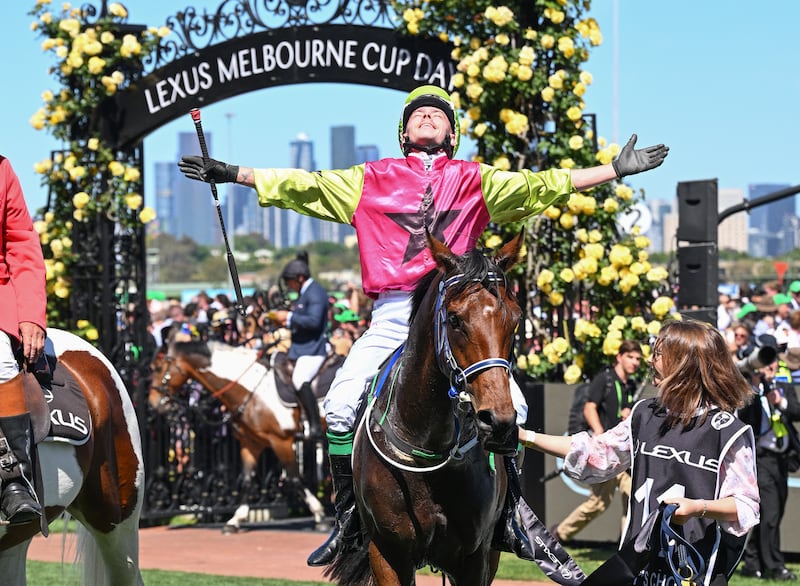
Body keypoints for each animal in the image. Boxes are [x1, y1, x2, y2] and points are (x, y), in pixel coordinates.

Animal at [148, 334, 326, 528]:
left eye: (158, 368)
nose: (151, 403)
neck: (253, 391)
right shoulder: (251, 443)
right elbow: (247, 480)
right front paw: (236, 519)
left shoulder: (281, 441)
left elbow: (294, 478)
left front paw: (319, 513)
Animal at [328, 230, 520, 584]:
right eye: (454, 319)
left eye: (515, 319)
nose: (497, 421)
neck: (427, 445)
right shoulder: (388, 552)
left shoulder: (475, 556)